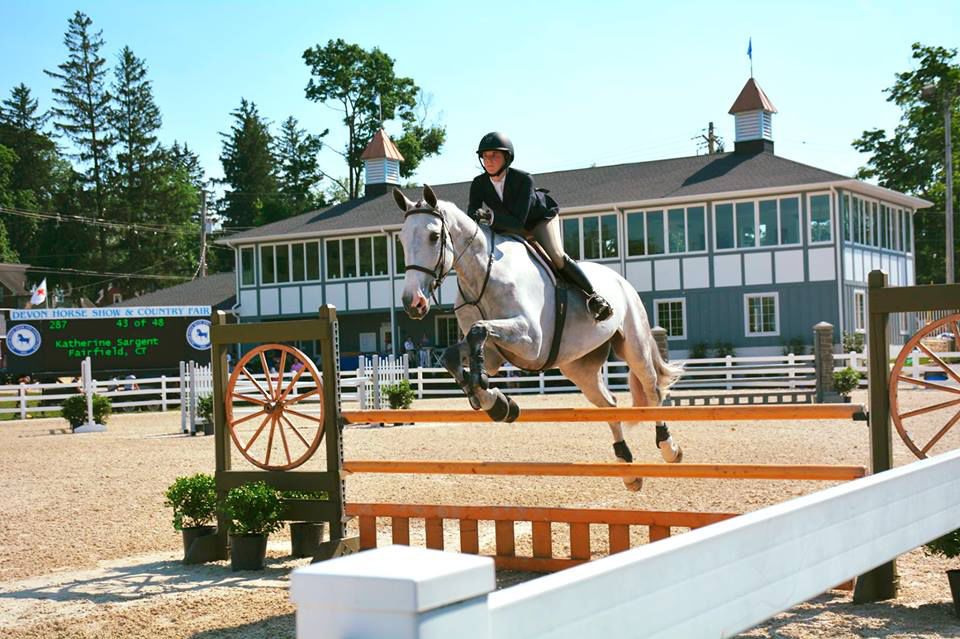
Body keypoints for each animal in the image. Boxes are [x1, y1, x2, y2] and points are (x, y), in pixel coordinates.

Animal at [393, 185, 684, 491]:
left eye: (434, 236)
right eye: (401, 239)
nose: (413, 303)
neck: (482, 275)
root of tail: (621, 279)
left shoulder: (531, 341)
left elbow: (478, 331)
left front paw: (490, 395)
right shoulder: (495, 355)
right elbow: (454, 355)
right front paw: (496, 403)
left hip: (634, 345)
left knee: (652, 390)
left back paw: (669, 447)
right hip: (579, 366)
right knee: (609, 404)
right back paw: (627, 468)